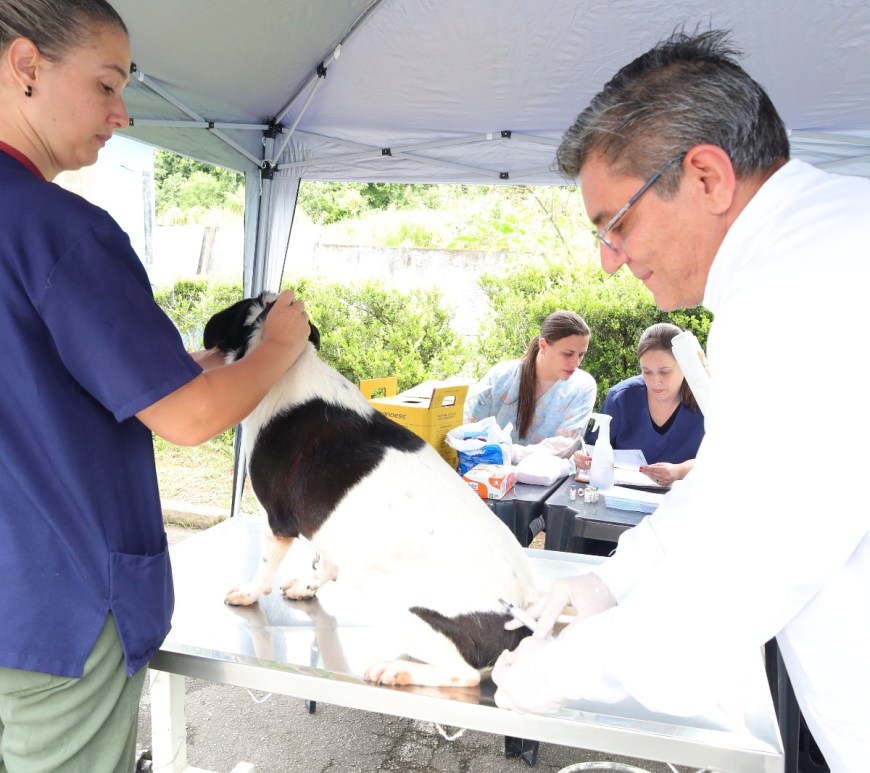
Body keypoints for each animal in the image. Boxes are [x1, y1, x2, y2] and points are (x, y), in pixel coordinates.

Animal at [202, 292, 538, 687]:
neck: (290, 366)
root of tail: (522, 623)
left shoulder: (279, 523)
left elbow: (265, 570)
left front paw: (249, 593)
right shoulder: (324, 520)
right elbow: (326, 562)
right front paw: (308, 587)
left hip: (392, 597)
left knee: (465, 674)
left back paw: (397, 669)